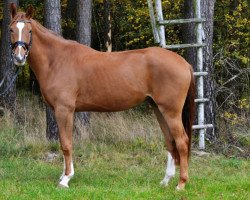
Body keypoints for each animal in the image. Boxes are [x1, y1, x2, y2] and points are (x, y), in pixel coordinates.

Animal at [8, 3, 195, 190]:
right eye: (11, 29)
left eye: (29, 31)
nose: (19, 57)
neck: (57, 60)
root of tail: (184, 63)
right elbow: (65, 142)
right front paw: (64, 174)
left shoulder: (64, 110)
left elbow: (66, 144)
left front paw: (66, 179)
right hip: (158, 109)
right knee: (170, 141)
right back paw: (165, 180)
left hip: (171, 111)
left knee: (182, 142)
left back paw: (181, 184)